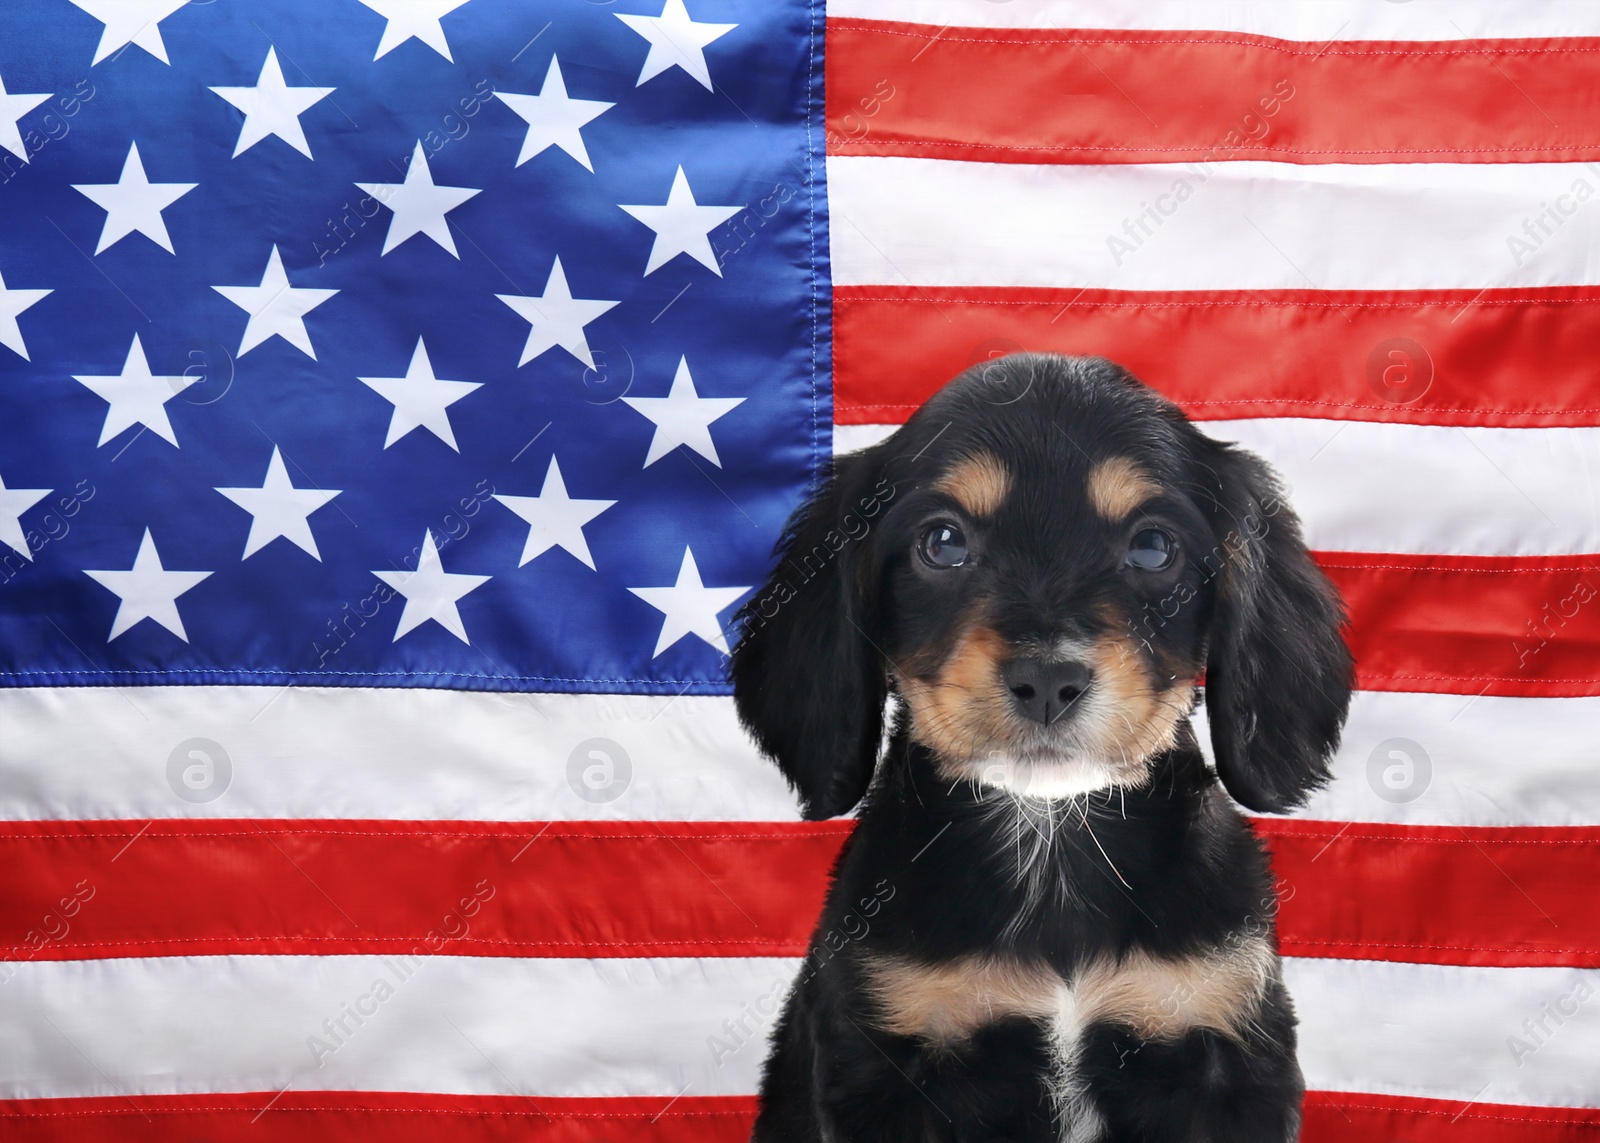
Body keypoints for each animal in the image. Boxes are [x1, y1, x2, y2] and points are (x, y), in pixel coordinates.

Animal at [732, 355, 1344, 1139]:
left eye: (1153, 547)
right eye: (943, 542)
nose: (1049, 679)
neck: (1050, 842)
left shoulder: (1217, 1031)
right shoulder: (890, 1049)